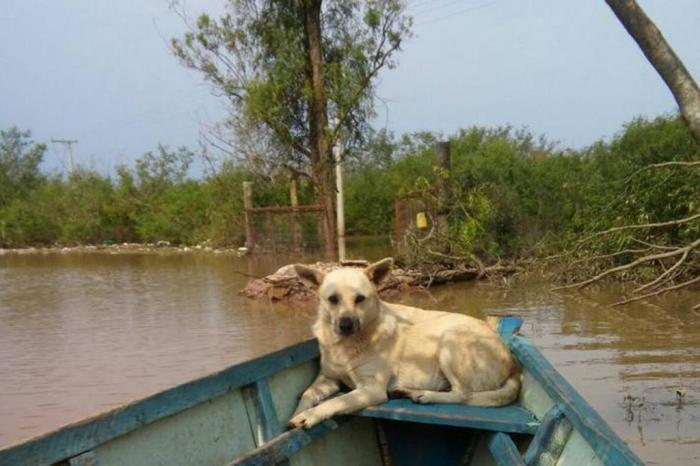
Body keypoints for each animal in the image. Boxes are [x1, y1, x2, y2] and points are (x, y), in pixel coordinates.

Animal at [284, 258, 520, 430]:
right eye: (333, 299)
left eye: (360, 299)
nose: (346, 325)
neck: (345, 346)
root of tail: (513, 365)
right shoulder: (328, 378)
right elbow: (306, 394)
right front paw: (297, 415)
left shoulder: (371, 389)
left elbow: (335, 402)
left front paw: (309, 416)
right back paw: (407, 391)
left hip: (450, 340)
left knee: (464, 395)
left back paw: (425, 396)